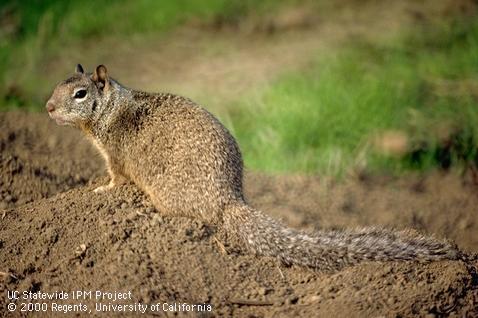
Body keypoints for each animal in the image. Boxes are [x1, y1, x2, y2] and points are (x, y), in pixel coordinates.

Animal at [45, 64, 460, 270]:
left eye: (80, 93)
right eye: (59, 85)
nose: (47, 108)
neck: (112, 110)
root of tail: (228, 199)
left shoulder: (115, 157)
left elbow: (116, 178)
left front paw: (101, 189)